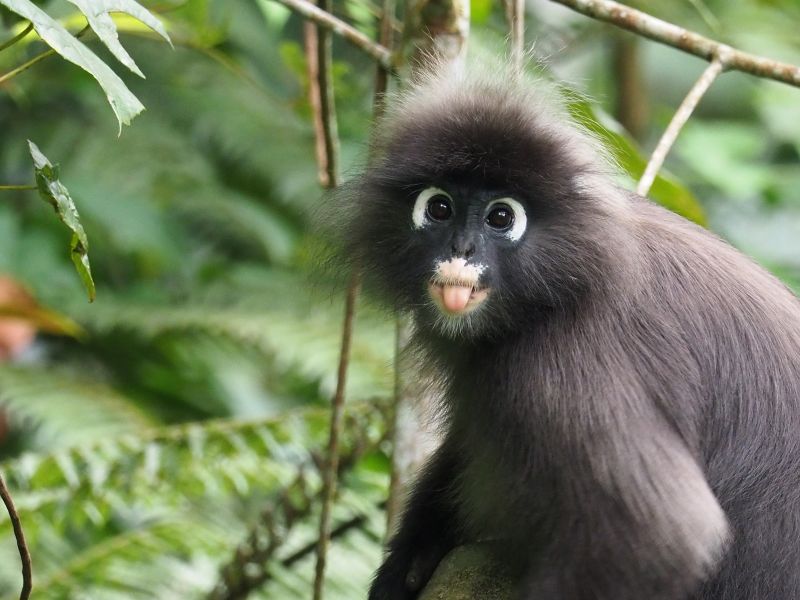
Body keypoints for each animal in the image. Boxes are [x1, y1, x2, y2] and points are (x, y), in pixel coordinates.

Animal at [324, 63, 800, 600]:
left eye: (501, 216)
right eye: (439, 208)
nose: (462, 251)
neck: (562, 283)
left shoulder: (560, 365)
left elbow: (663, 536)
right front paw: (407, 561)